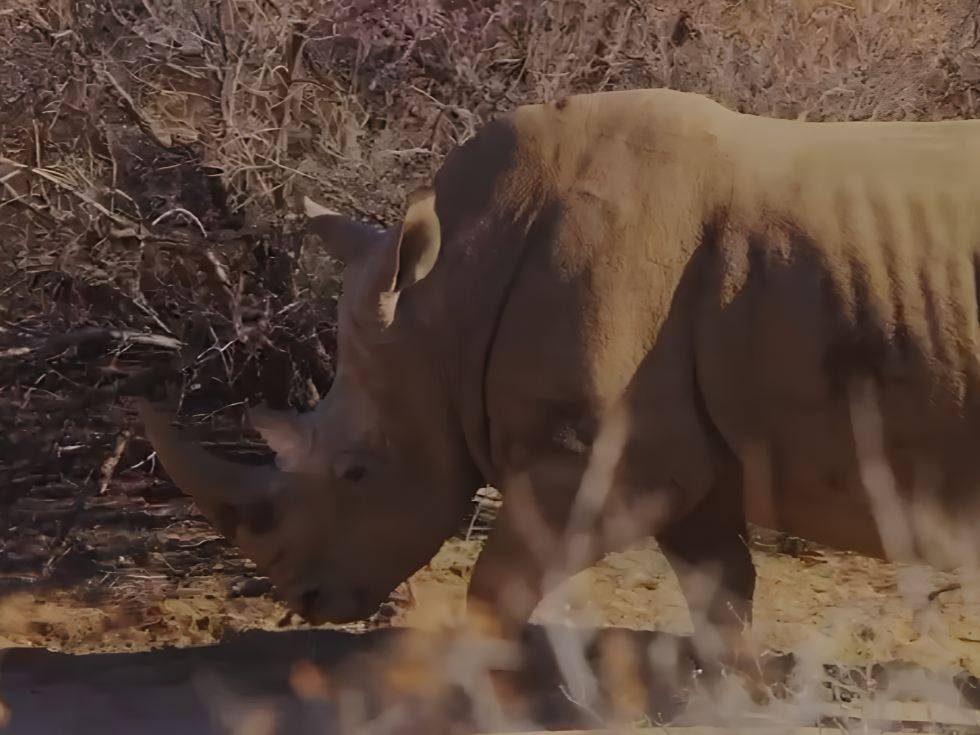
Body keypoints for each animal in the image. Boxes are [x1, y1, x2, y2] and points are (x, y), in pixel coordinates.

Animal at [139, 88, 980, 664]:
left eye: (357, 472)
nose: (305, 597)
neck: (451, 298)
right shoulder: (678, 455)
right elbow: (719, 584)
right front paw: (742, 689)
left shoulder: (593, 458)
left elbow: (496, 586)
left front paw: (469, 684)